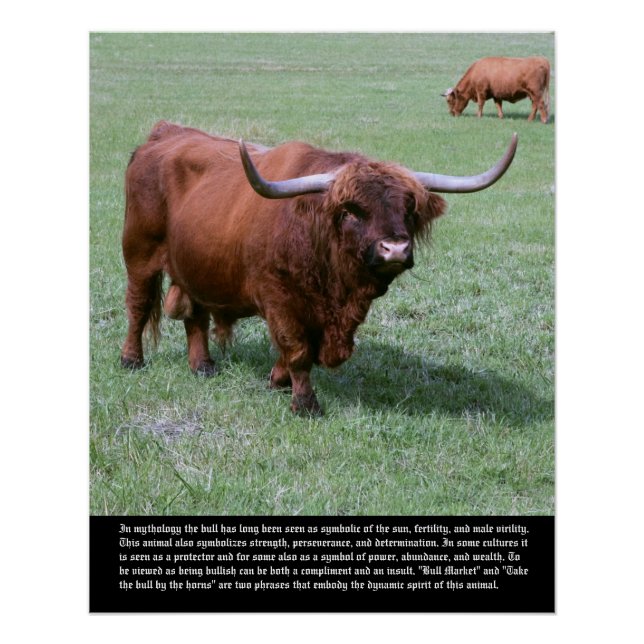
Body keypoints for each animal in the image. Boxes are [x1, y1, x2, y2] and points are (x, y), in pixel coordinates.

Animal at [121, 121, 517, 415]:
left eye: (409, 208)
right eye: (351, 211)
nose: (395, 249)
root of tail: (163, 135)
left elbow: (310, 351)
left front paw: (277, 380)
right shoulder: (279, 298)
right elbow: (297, 349)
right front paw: (304, 402)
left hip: (196, 264)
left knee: (195, 315)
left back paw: (203, 366)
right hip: (139, 253)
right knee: (138, 306)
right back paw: (131, 360)